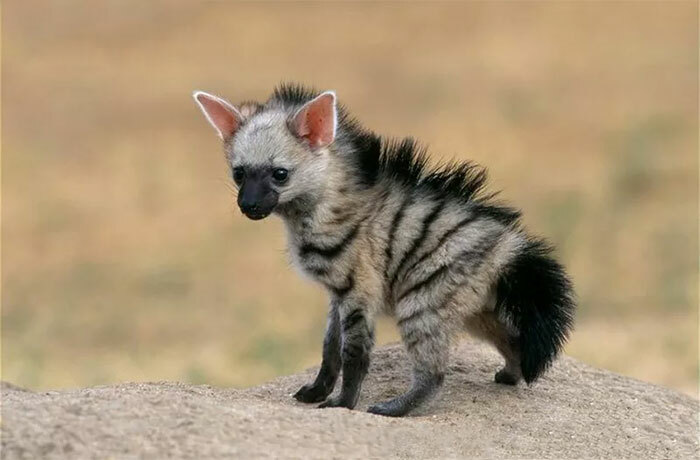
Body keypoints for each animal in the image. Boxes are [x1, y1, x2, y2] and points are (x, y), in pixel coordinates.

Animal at [192, 84, 575, 417]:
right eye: (239, 174)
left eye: (279, 174)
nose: (248, 206)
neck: (315, 214)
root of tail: (505, 247)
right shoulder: (338, 293)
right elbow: (329, 347)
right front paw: (315, 392)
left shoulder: (359, 287)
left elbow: (353, 353)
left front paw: (342, 404)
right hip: (475, 308)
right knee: (512, 338)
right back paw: (510, 375)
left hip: (422, 300)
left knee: (435, 371)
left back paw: (394, 408)